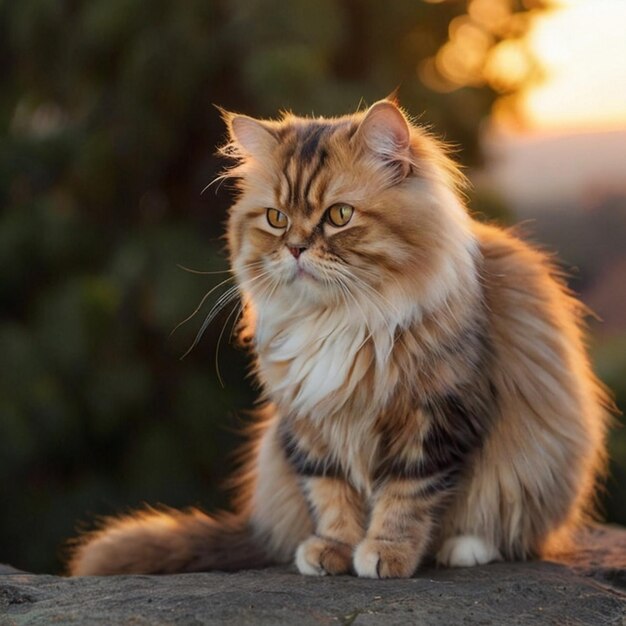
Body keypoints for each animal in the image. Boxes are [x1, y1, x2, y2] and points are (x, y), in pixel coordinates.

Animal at [67, 98, 604, 580]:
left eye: (340, 215)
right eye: (277, 219)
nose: (296, 248)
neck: (340, 319)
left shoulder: (437, 415)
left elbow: (406, 496)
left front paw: (386, 553)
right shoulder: (309, 422)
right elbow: (332, 496)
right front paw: (335, 550)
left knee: (508, 529)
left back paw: (465, 548)